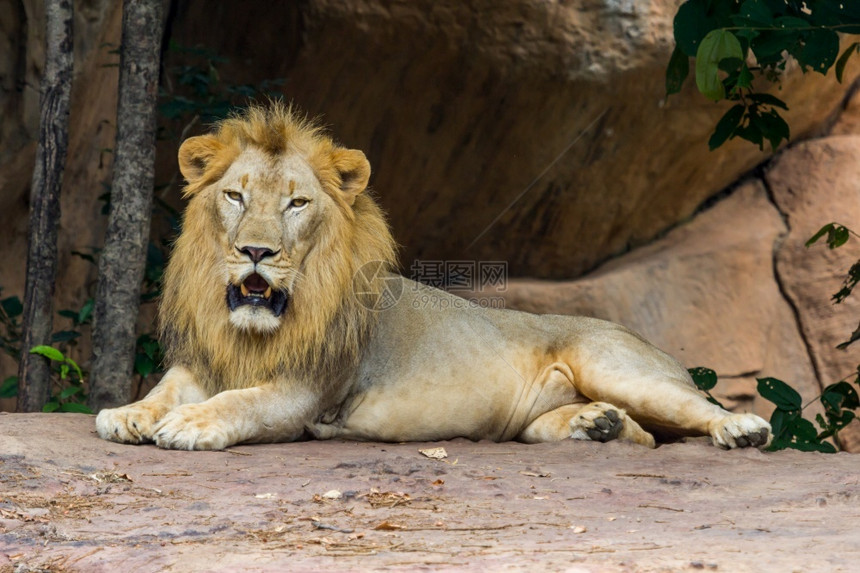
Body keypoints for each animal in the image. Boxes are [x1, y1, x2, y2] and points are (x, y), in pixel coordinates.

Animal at [95, 103, 772, 452]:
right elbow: (162, 389)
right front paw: (129, 414)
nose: (255, 251)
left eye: (297, 204)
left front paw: (189, 424)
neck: (256, 327)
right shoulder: (203, 361)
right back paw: (595, 425)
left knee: (693, 410)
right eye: (235, 195)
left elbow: (243, 401)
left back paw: (739, 428)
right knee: (642, 438)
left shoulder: (305, 390)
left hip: (618, 365)